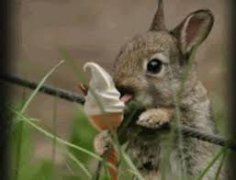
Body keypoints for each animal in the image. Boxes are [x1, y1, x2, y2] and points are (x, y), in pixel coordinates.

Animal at [93, 0, 226, 179]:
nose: (120, 87)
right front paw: (101, 142)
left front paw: (152, 117)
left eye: (154, 66)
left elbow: (175, 113)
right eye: (121, 53)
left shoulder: (194, 118)